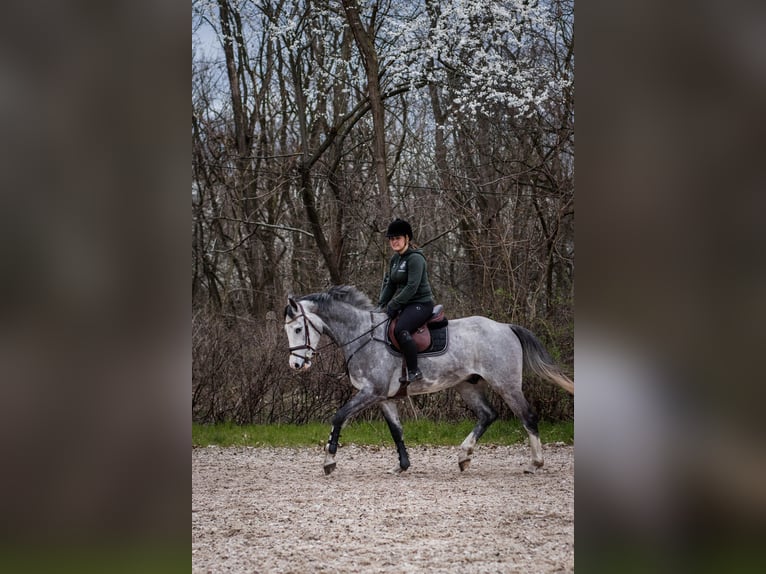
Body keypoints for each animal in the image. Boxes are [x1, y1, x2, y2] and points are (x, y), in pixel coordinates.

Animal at [284, 285, 573, 475]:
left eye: (298, 329)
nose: (296, 365)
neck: (362, 334)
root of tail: (505, 327)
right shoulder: (383, 397)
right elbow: (396, 430)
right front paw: (402, 466)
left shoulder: (370, 392)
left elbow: (338, 417)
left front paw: (329, 461)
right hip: (468, 385)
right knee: (488, 415)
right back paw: (464, 456)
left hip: (507, 384)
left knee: (527, 417)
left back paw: (535, 463)